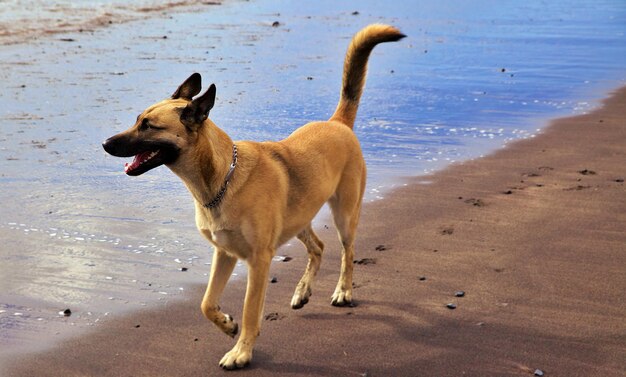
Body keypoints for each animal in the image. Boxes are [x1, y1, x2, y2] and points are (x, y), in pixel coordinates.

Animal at [102, 25, 402, 368]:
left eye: (148, 126)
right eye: (137, 119)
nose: (105, 143)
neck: (221, 179)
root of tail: (337, 123)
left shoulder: (259, 260)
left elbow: (249, 311)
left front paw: (241, 352)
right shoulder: (224, 253)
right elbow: (206, 303)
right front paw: (226, 324)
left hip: (345, 214)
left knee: (347, 253)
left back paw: (343, 291)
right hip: (298, 218)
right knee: (318, 248)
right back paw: (302, 291)